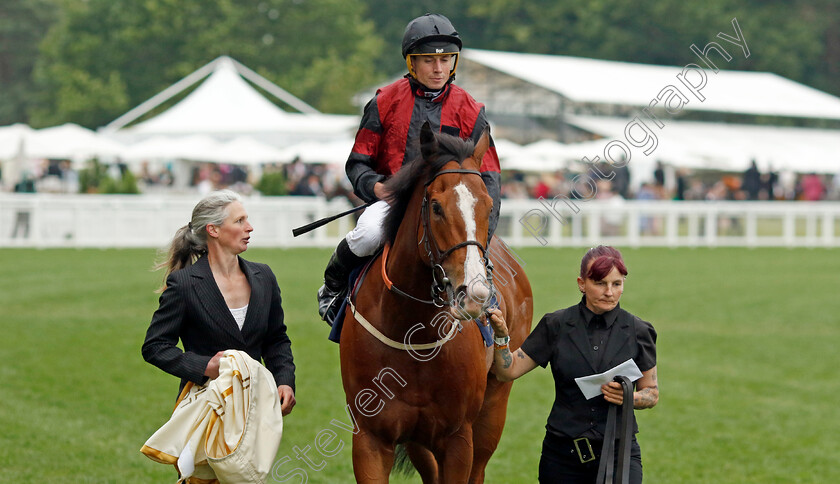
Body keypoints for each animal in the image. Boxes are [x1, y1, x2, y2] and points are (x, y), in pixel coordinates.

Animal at [340, 123, 532, 482]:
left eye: (488, 205)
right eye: (436, 207)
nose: (475, 295)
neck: (410, 330)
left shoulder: (458, 437)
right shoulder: (371, 437)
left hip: (494, 405)